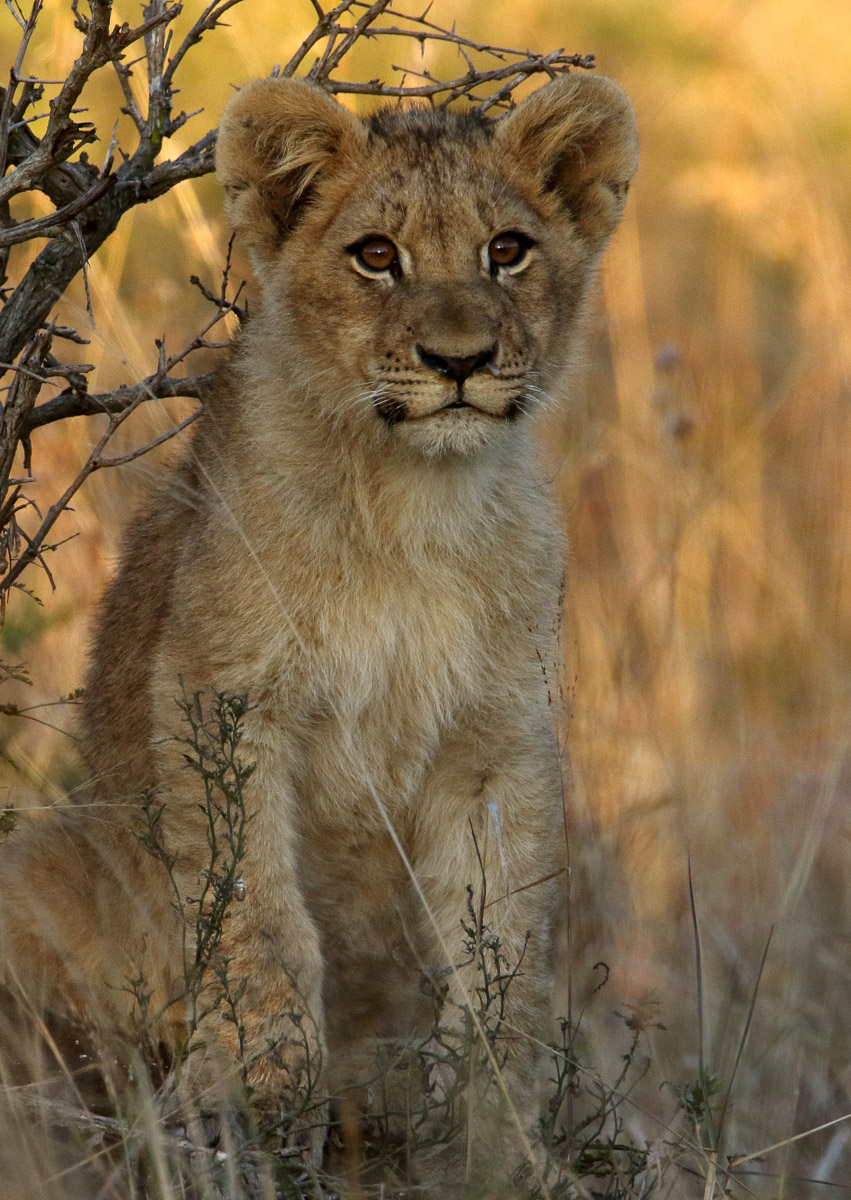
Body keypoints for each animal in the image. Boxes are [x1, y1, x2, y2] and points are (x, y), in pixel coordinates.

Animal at [0, 73, 637, 1192]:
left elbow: (500, 946)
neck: (411, 507)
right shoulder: (220, 702)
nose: (460, 361)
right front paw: (258, 1097)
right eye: (375, 255)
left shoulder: (498, 745)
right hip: (42, 863)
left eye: (507, 249)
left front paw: (487, 1128)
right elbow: (259, 917)